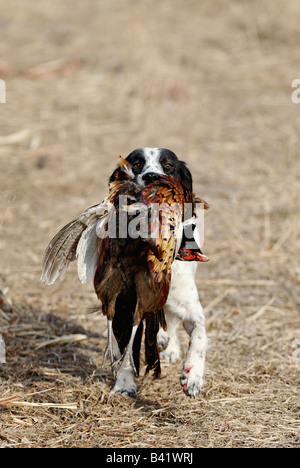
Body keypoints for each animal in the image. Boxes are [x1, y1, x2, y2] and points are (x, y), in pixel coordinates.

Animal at [108, 148, 209, 396]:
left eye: (168, 165)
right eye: (136, 163)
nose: (152, 177)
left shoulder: (191, 309)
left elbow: (199, 336)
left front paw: (193, 375)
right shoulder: (125, 309)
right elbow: (126, 352)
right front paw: (124, 384)